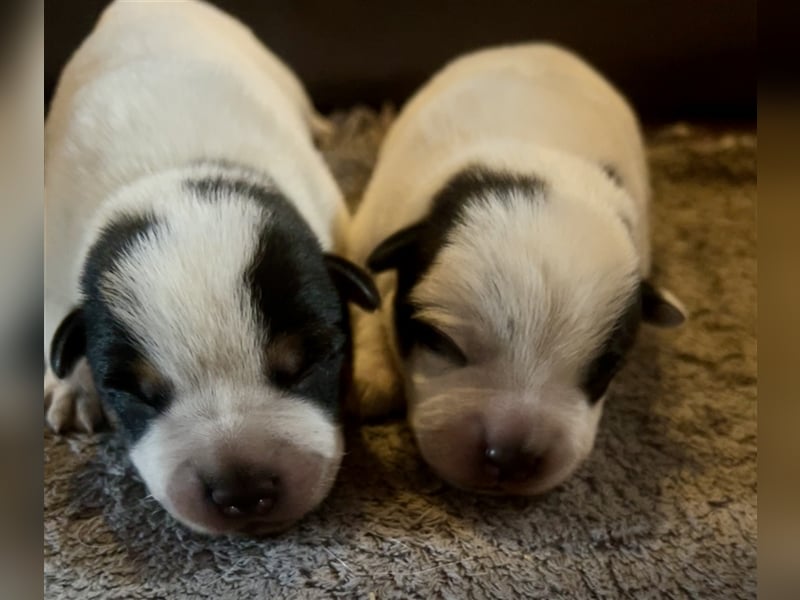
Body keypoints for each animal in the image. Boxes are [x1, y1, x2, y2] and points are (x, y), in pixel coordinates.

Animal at [43, 0, 378, 536]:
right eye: (134, 392)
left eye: (308, 362)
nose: (243, 492)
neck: (175, 173)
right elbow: (56, 314)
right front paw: (73, 387)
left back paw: (328, 127)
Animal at [346, 43, 684, 496]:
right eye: (441, 342)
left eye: (606, 368)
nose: (510, 457)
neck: (527, 159)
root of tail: (538, 45)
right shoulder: (371, 225)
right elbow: (367, 290)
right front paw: (369, 377)